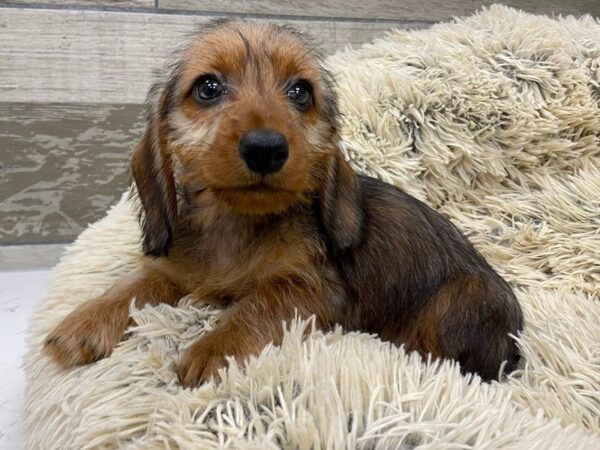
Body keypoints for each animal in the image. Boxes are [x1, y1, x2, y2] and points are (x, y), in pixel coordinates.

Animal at [44, 20, 524, 386]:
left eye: (300, 92)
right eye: (207, 87)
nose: (265, 148)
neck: (236, 225)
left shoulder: (310, 289)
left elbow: (255, 307)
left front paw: (212, 350)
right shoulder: (175, 268)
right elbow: (132, 286)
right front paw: (83, 323)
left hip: (462, 299)